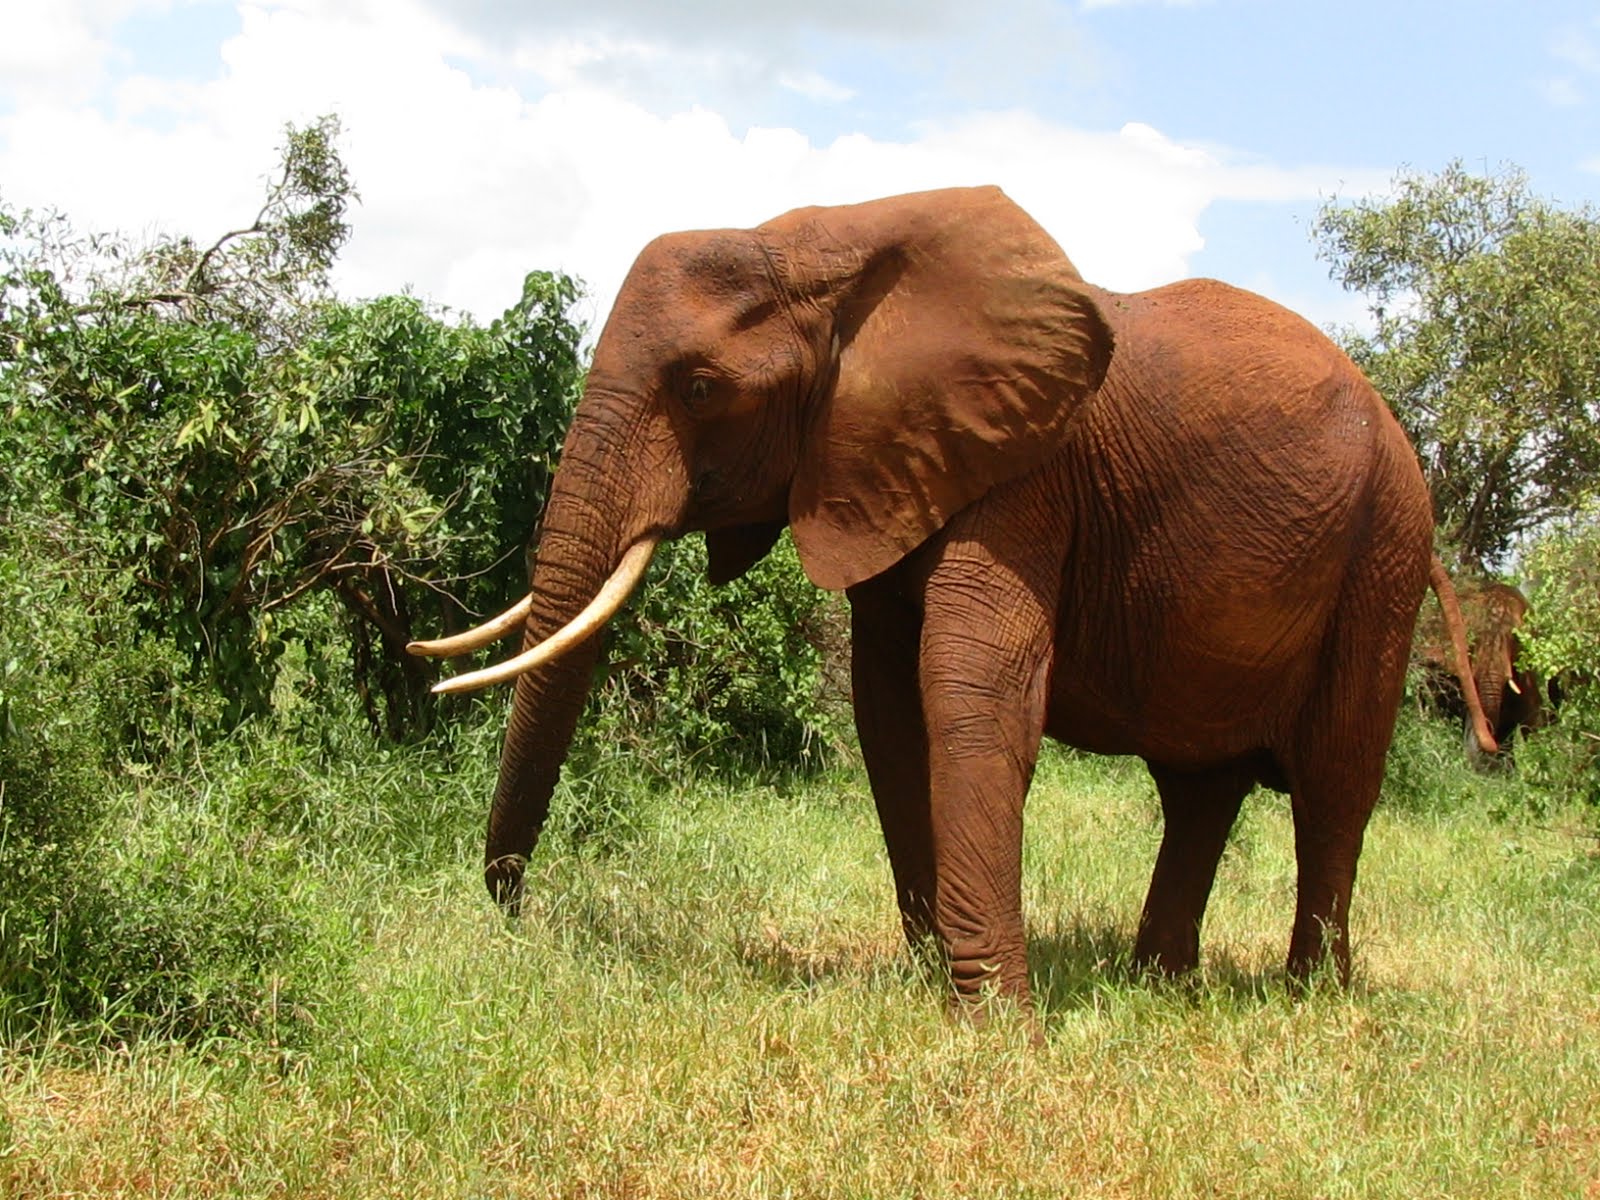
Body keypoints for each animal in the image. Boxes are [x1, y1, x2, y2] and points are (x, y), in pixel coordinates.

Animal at [411, 186, 1494, 1011]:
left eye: (703, 388)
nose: (516, 914)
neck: (831, 246)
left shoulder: (1024, 471)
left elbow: (973, 688)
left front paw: (997, 1025)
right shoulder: (889, 462)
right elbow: (890, 713)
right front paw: (938, 980)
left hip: (1385, 550)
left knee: (1335, 779)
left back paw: (1311, 1002)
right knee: (1200, 787)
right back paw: (1158, 987)